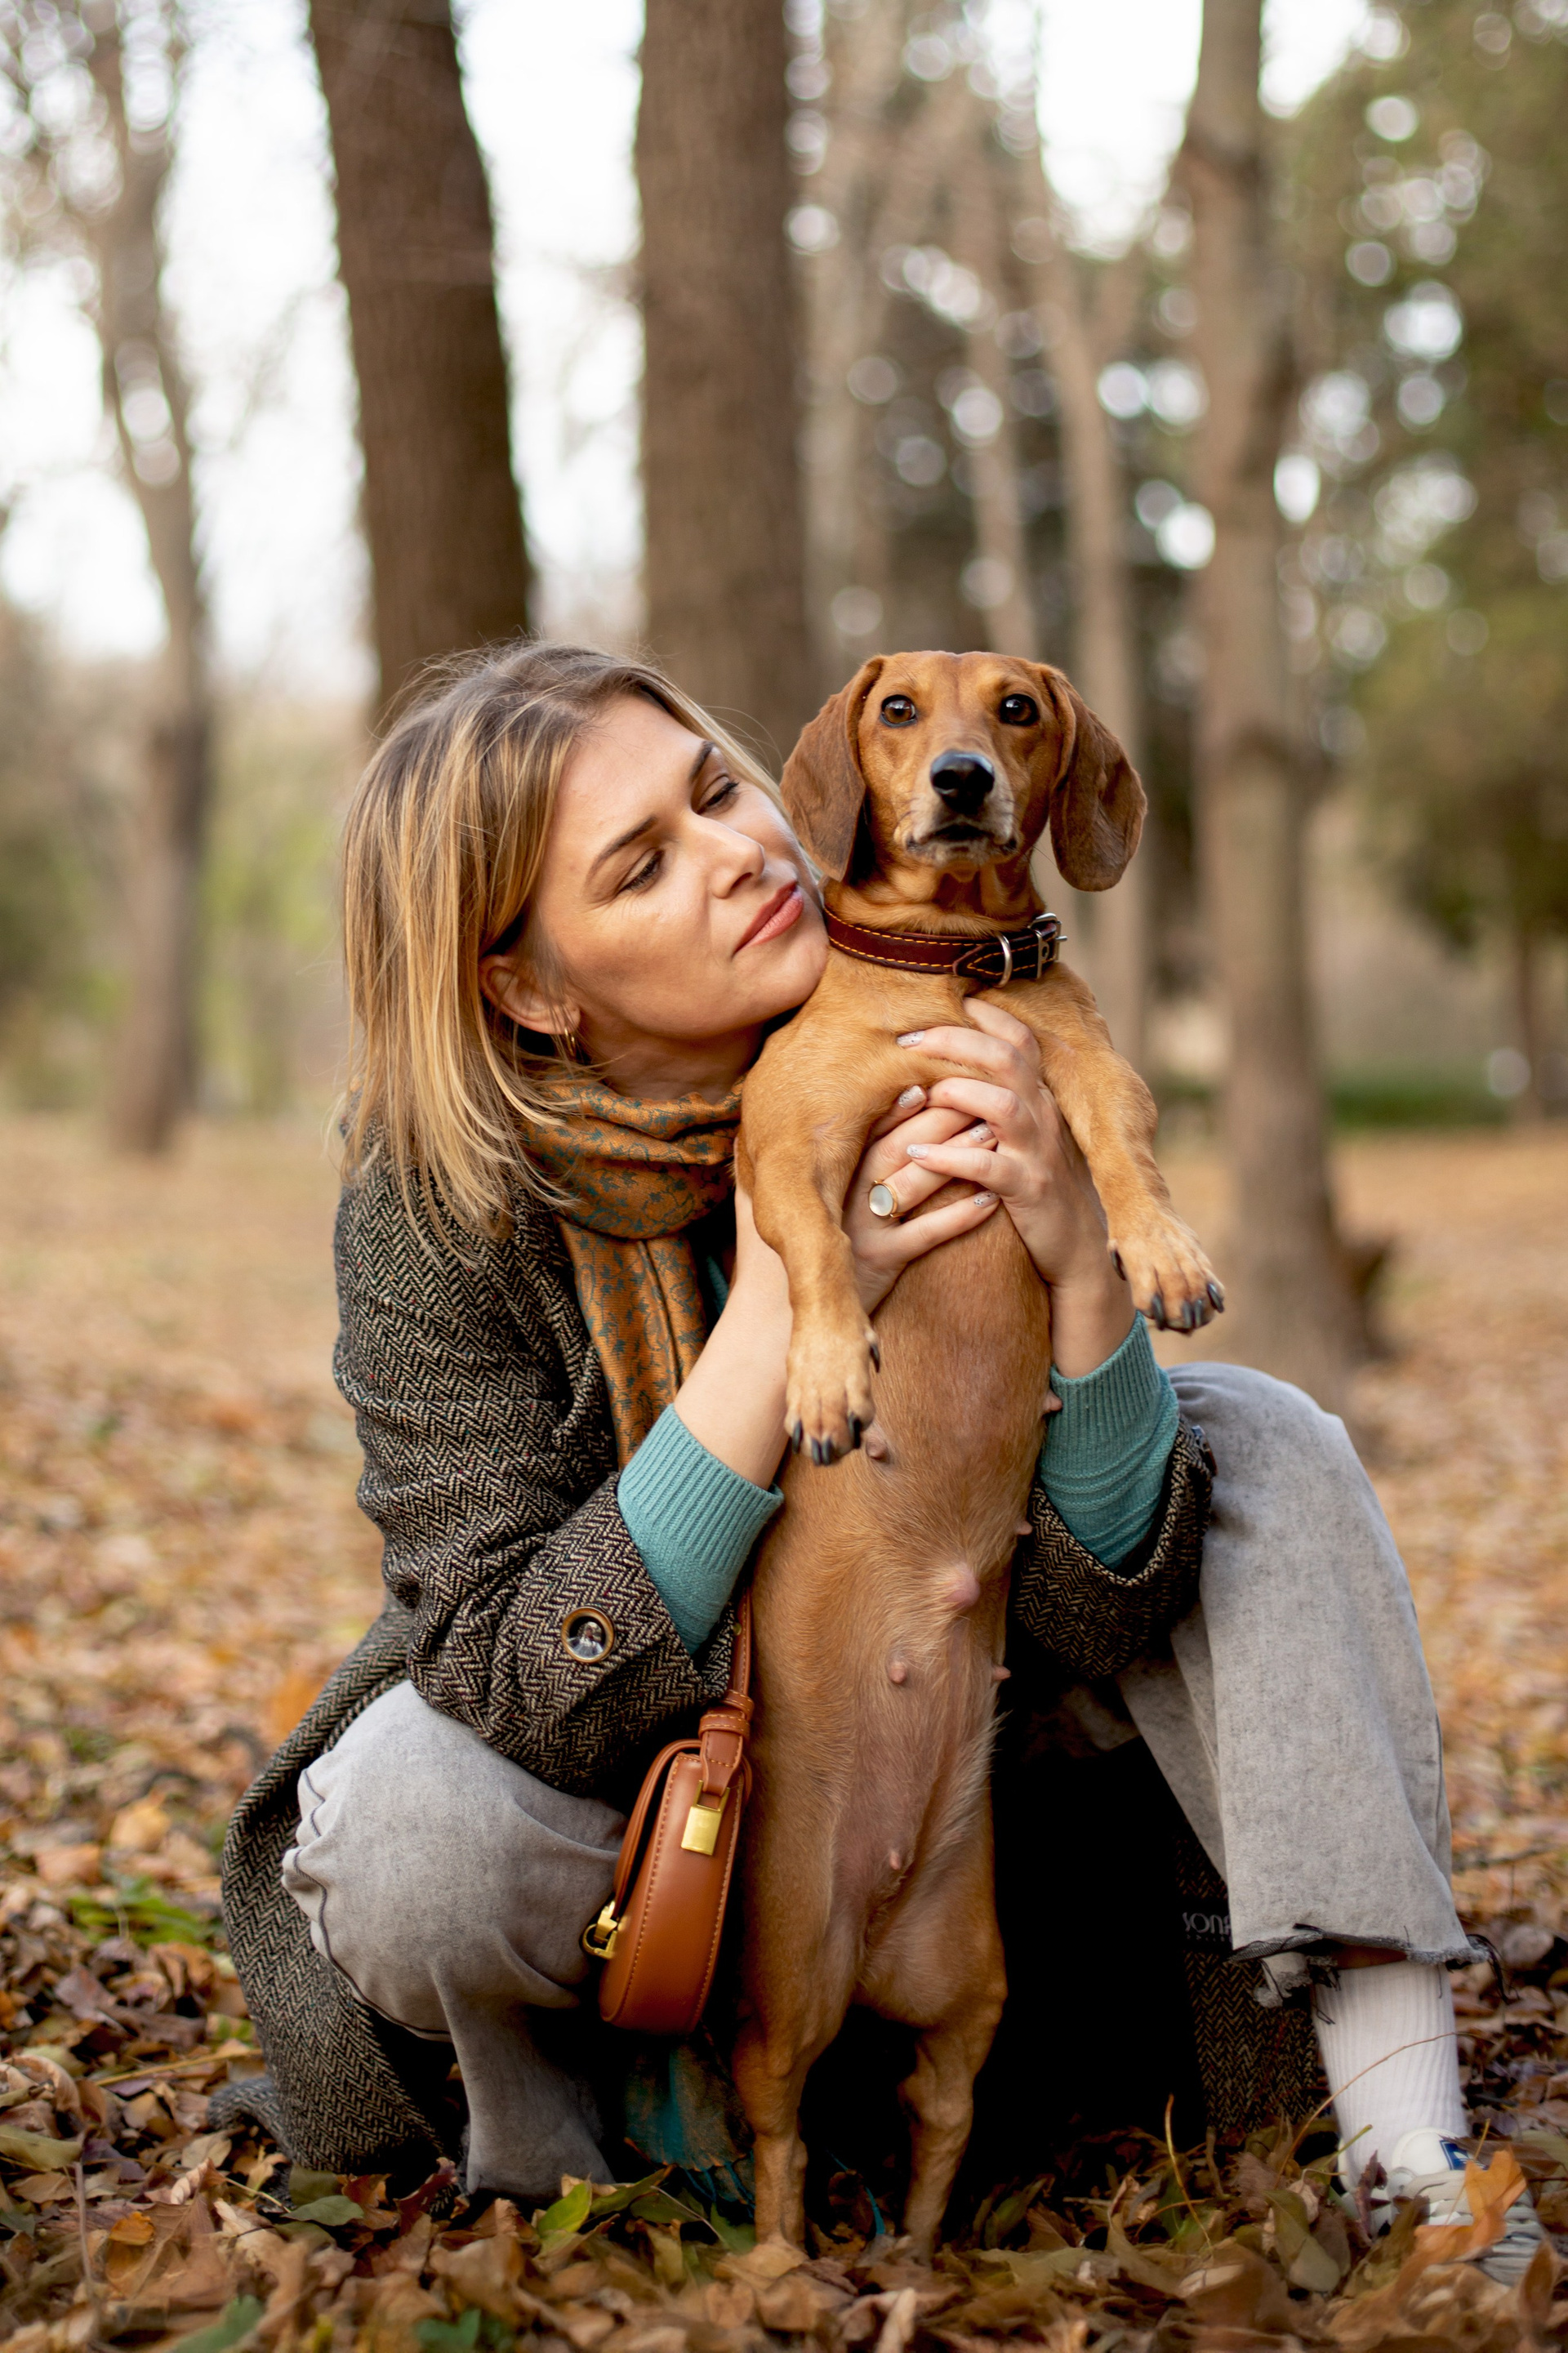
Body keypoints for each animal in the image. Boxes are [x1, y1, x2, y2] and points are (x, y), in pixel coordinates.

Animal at [731, 650, 1220, 2253]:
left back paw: (912, 2269)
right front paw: (831, 1369)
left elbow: (1125, 1156)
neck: (942, 968)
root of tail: (882, 1917)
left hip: (973, 1995)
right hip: (779, 1998)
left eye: (1016, 707)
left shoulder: (1089, 1081)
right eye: (899, 711)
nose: (960, 779)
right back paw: (782, 2273)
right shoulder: (790, 1143)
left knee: (932, 2133)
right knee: (781, 2147)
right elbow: (822, 1248)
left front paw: (1164, 1251)